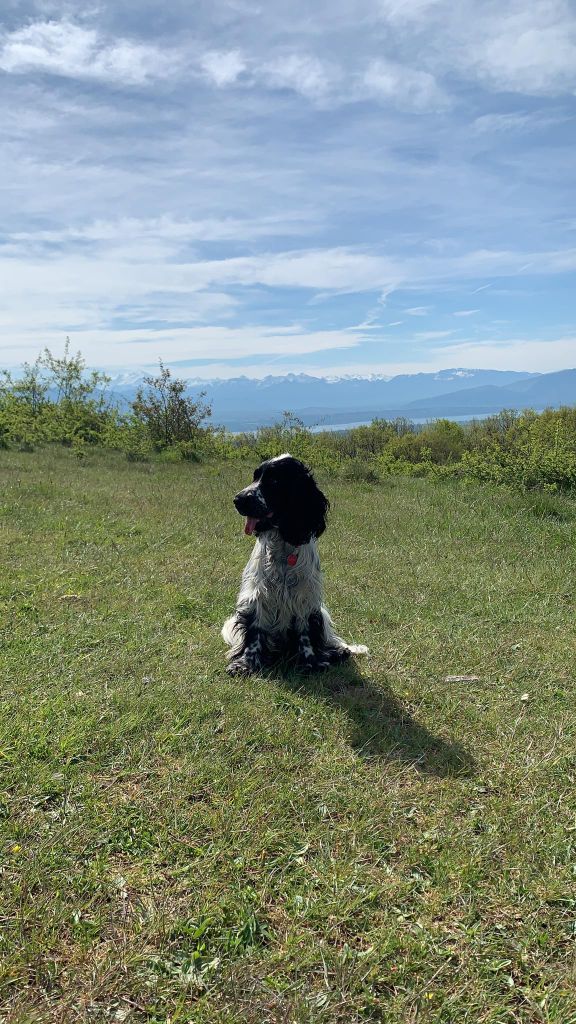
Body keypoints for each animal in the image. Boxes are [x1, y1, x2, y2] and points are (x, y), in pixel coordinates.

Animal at [222, 454, 364, 675]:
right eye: (255, 477)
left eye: (274, 481)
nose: (238, 500)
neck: (283, 546)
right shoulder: (256, 594)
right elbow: (254, 631)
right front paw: (246, 663)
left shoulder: (305, 597)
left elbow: (306, 634)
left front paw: (311, 662)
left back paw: (338, 652)